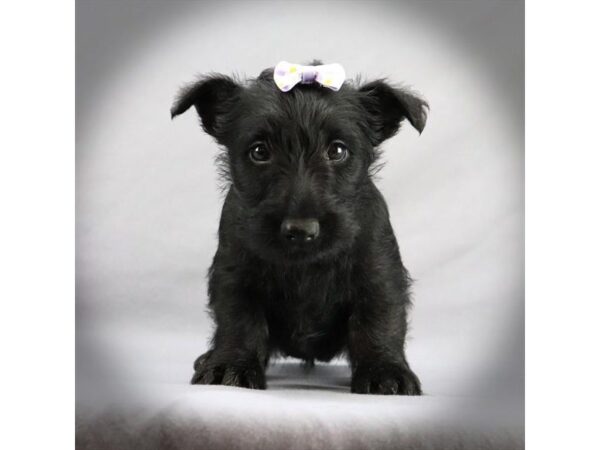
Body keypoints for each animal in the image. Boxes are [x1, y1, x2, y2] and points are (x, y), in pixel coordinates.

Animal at [171, 60, 428, 394]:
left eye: (337, 151)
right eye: (259, 152)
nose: (301, 230)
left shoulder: (379, 273)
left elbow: (379, 319)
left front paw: (386, 371)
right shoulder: (234, 273)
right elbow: (239, 320)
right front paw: (230, 365)